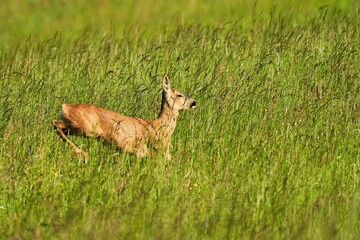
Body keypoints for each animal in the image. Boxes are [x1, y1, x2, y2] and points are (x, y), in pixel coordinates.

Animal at [52, 74, 195, 162]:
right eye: (179, 95)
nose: (194, 102)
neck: (159, 127)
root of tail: (65, 107)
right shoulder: (147, 151)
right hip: (85, 128)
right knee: (56, 123)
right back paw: (83, 154)